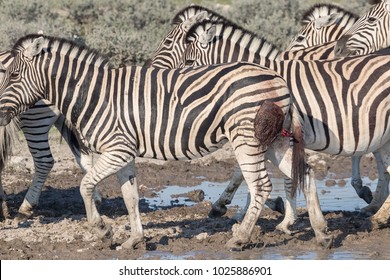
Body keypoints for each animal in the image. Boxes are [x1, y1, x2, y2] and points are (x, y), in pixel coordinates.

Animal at [0, 34, 314, 250]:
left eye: (12, 75)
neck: (94, 94)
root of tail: (279, 79)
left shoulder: (116, 150)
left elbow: (85, 185)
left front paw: (102, 230)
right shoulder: (124, 152)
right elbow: (130, 197)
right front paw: (134, 240)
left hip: (248, 138)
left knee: (261, 185)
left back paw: (241, 238)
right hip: (273, 141)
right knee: (305, 171)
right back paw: (318, 231)